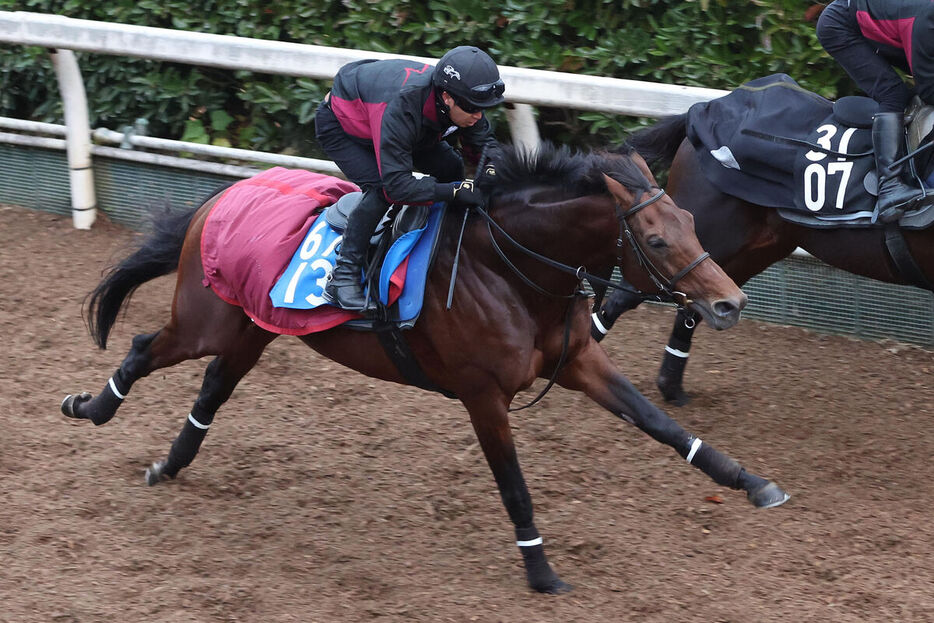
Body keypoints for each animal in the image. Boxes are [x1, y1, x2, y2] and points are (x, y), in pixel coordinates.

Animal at [64, 144, 788, 596]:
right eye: (658, 239)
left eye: (692, 218)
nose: (729, 302)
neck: (510, 270)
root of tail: (222, 197)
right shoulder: (482, 393)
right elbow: (514, 484)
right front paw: (541, 570)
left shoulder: (579, 359)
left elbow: (661, 424)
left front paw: (752, 483)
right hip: (205, 322)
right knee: (142, 346)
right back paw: (90, 407)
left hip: (253, 329)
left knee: (212, 389)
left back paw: (168, 463)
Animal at [596, 111, 934, 404]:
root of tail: (697, 113)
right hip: (695, 244)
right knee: (629, 296)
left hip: (747, 255)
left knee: (702, 306)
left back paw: (670, 387)